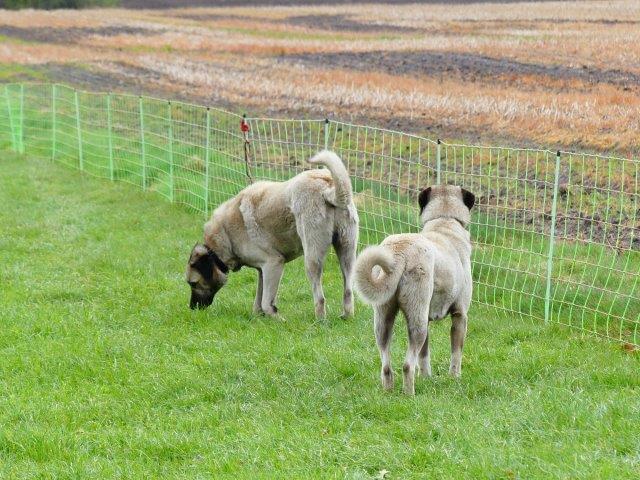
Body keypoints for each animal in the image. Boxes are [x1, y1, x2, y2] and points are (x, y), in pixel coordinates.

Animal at [185, 152, 360, 320]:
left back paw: (320, 321)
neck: (224, 236)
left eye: (193, 284)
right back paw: (346, 317)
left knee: (320, 298)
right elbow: (258, 300)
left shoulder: (273, 263)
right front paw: (259, 318)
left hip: (312, 258)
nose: (192, 308)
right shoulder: (263, 270)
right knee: (348, 291)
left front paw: (278, 318)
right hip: (347, 253)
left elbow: (266, 302)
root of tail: (327, 188)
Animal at [356, 186, 476, 396]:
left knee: (386, 364)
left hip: (384, 320)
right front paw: (455, 377)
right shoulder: (460, 315)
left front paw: (427, 378)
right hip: (416, 320)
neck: (444, 220)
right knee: (407, 365)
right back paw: (409, 394)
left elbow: (424, 355)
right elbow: (456, 353)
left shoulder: (427, 318)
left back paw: (388, 391)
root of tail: (399, 252)